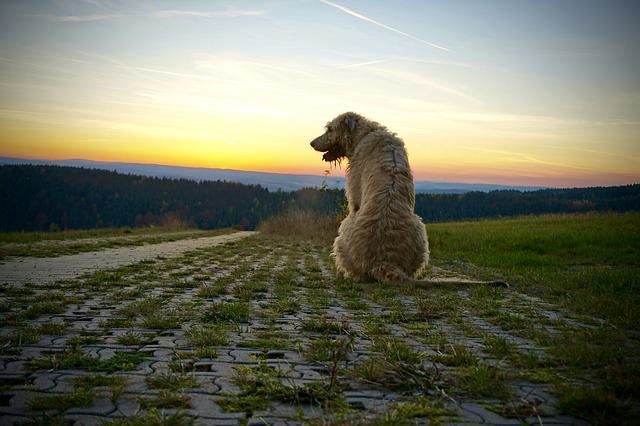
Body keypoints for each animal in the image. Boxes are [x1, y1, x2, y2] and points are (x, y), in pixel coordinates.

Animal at [312, 111, 508, 288]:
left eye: (330, 129)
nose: (311, 142)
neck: (366, 134)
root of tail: (384, 262)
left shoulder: (354, 196)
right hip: (420, 231)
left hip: (344, 231)